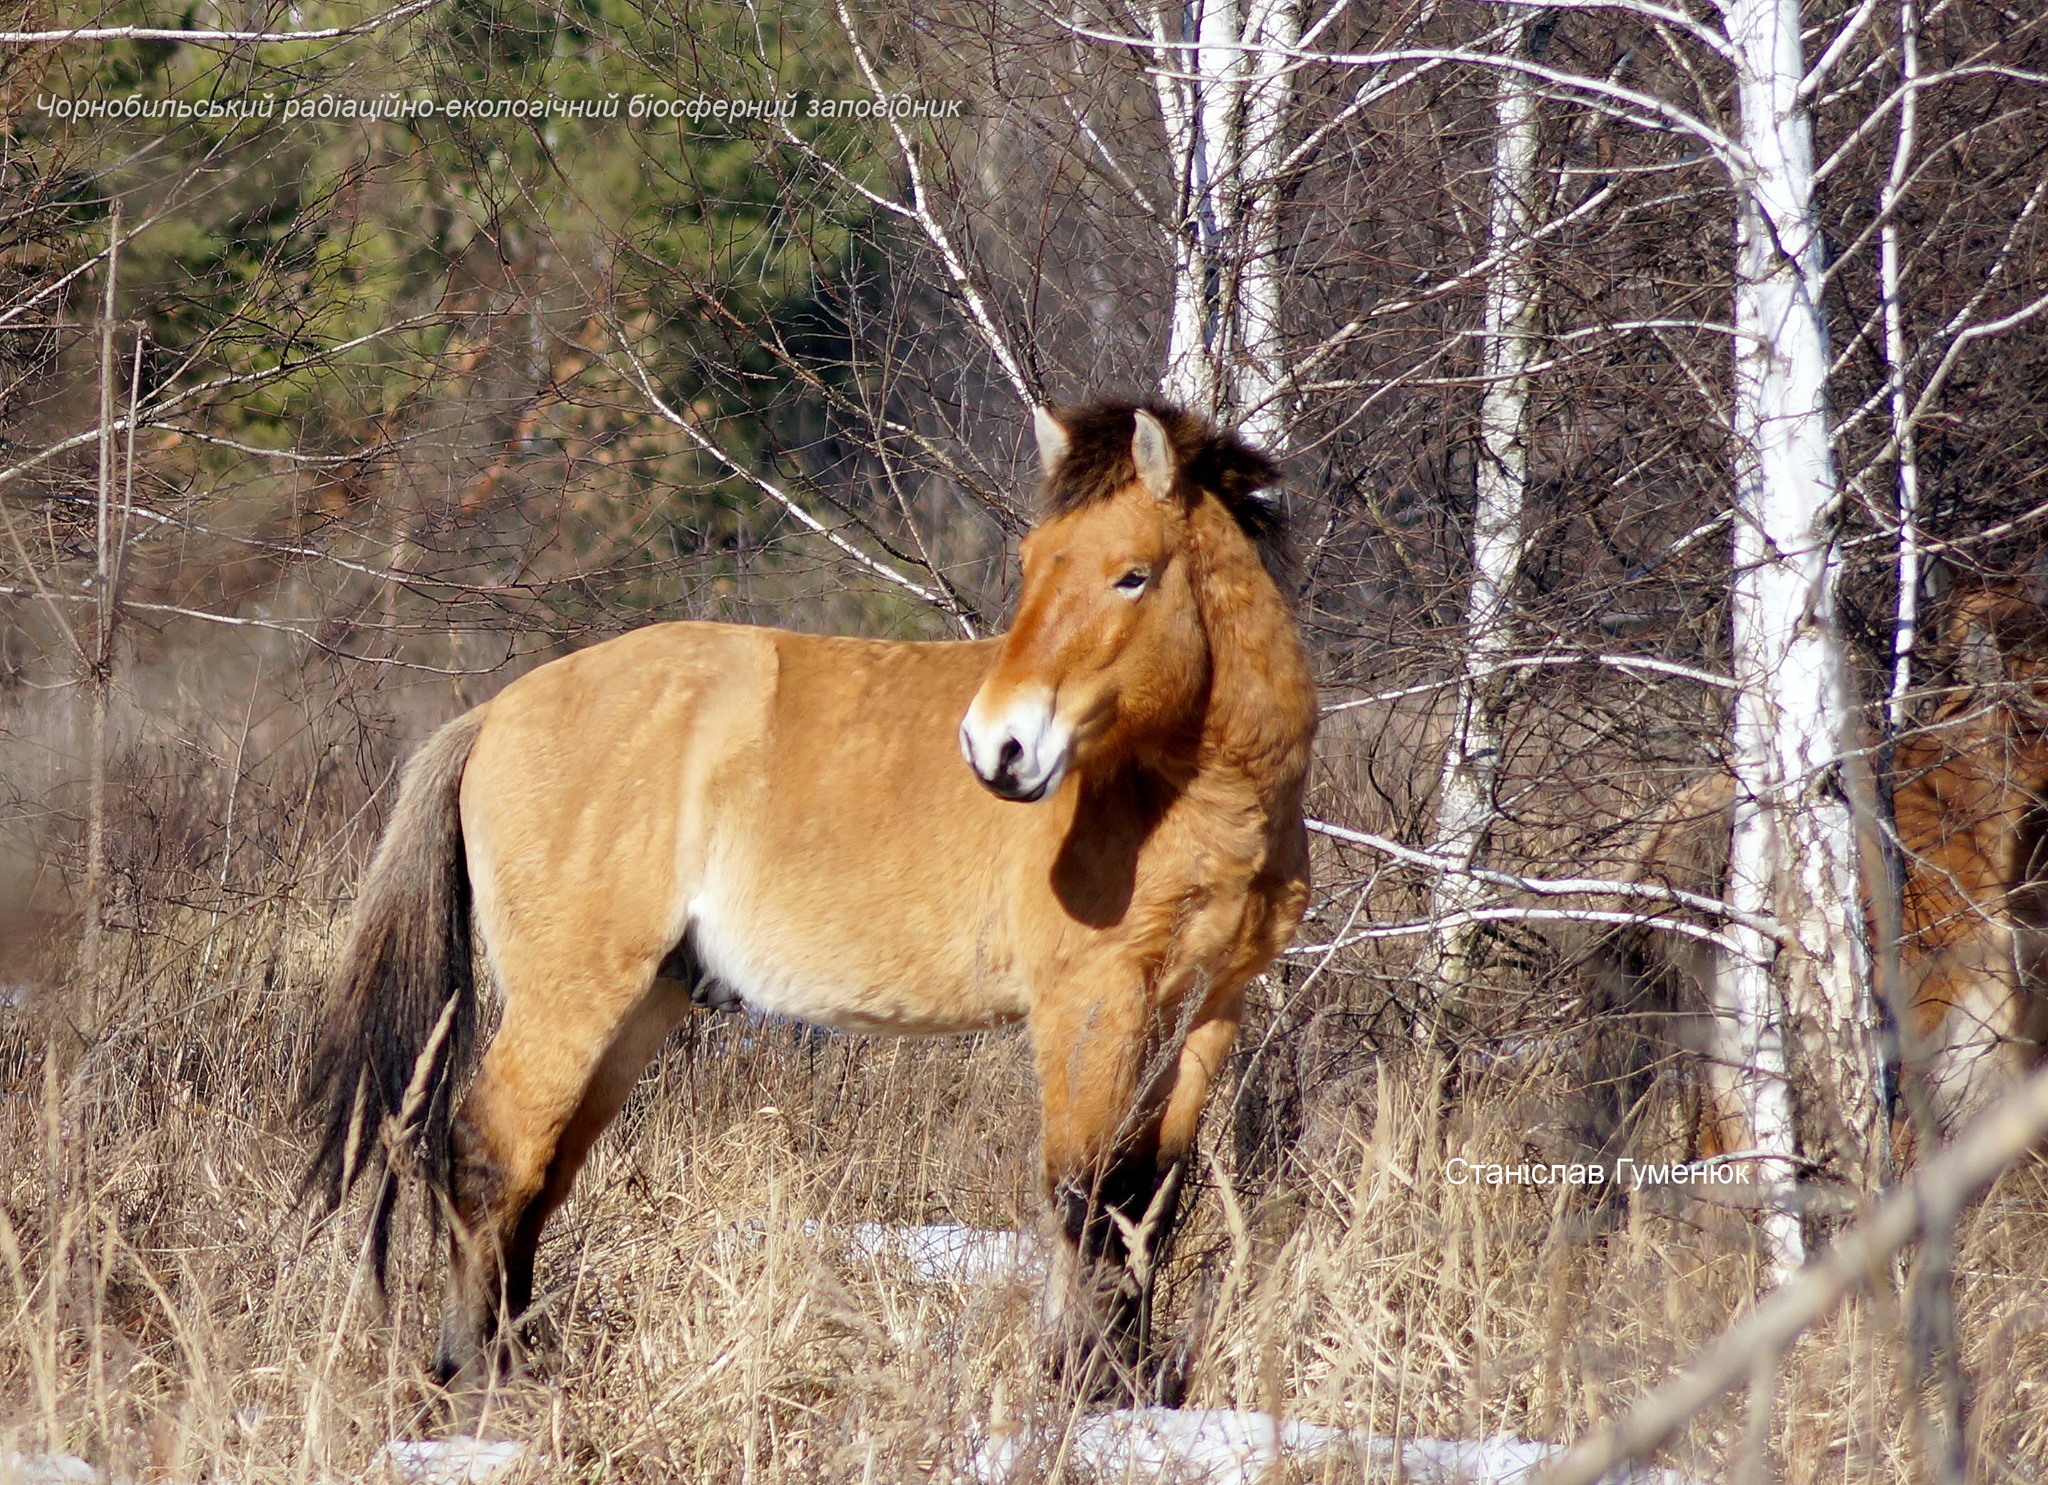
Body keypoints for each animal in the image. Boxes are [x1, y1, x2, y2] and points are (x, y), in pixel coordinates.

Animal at [311, 399, 1318, 1392]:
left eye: (1132, 575)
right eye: (1033, 563)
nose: (998, 746)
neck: (1183, 798)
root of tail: (494, 714)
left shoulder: (1204, 1012)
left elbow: (1150, 1200)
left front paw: (1125, 1386)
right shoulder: (1092, 1005)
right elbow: (1088, 1196)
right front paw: (1076, 1385)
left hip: (641, 1004)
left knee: (541, 1173)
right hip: (572, 996)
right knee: (493, 1155)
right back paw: (479, 1376)